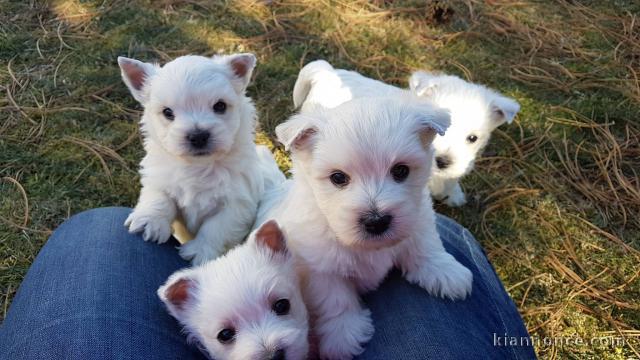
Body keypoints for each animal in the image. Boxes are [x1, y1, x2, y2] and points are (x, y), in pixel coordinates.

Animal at [119, 52, 274, 264]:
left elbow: (216, 228)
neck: (198, 166)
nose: (198, 136)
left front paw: (200, 251)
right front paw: (150, 222)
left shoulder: (237, 203)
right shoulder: (158, 178)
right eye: (167, 112)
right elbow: (159, 197)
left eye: (220, 106)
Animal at [260, 97, 476, 358]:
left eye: (401, 170)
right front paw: (343, 335)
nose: (377, 221)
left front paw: (445, 271)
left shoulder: (419, 218)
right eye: (338, 177)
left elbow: (425, 245)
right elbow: (336, 299)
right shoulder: (319, 268)